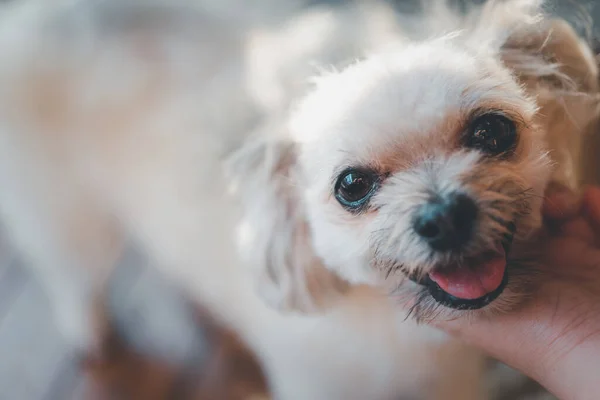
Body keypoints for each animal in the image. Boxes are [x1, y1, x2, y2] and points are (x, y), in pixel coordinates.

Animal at [0, 0, 596, 398]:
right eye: (351, 186)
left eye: (492, 132)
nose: (444, 216)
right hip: (65, 218)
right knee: (73, 280)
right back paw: (92, 335)